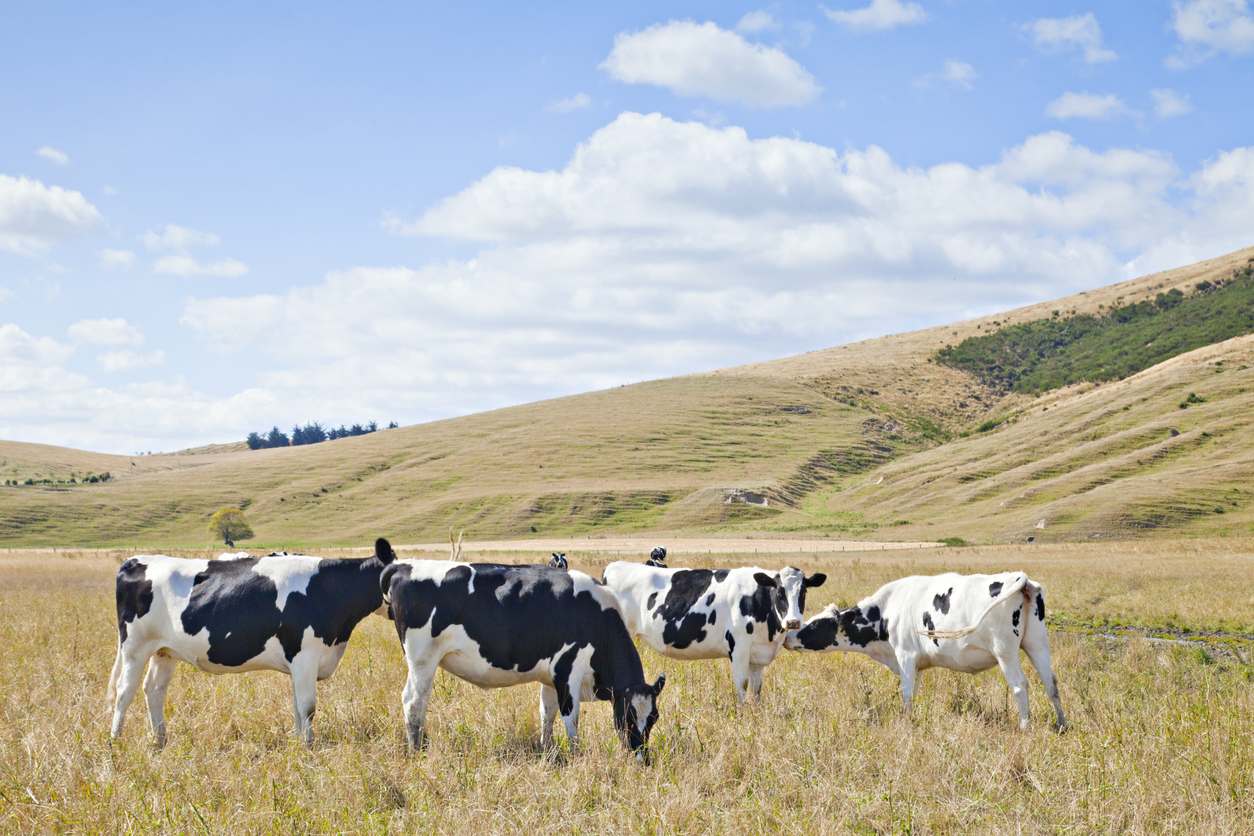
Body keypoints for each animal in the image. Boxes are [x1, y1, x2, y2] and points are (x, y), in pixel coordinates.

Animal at [112, 538, 398, 747]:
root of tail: (136, 561)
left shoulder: (299, 662)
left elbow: (296, 706)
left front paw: (297, 743)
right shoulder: (305, 656)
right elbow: (307, 707)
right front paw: (309, 747)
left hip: (164, 651)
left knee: (154, 690)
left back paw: (160, 740)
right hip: (135, 647)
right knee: (124, 691)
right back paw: (115, 742)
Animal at [378, 538, 667, 762]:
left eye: (654, 717)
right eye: (628, 716)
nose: (641, 759)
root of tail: (404, 566)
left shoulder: (551, 677)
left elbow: (547, 714)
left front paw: (549, 752)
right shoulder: (568, 671)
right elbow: (570, 720)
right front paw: (576, 757)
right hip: (422, 659)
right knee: (414, 703)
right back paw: (417, 752)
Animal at [596, 561, 822, 706]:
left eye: (803, 592)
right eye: (779, 591)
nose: (793, 621)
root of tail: (613, 566)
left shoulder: (757, 655)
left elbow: (757, 690)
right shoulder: (738, 647)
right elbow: (742, 685)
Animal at [787, 571, 1063, 726]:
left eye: (816, 624)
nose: (789, 634)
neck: (888, 610)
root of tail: (1018, 578)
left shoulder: (905, 656)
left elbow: (907, 696)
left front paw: (906, 724)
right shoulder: (917, 665)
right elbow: (914, 694)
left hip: (1005, 650)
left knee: (1020, 686)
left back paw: (1024, 727)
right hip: (1037, 644)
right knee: (1051, 684)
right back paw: (1062, 725)